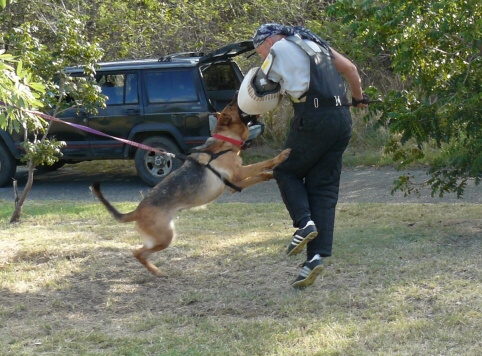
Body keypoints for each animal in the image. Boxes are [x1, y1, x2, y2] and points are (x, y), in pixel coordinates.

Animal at [91, 96, 290, 276]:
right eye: (232, 105)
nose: (235, 96)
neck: (224, 142)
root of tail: (137, 211)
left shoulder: (236, 184)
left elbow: (261, 174)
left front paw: (272, 174)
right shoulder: (240, 173)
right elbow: (263, 163)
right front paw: (281, 156)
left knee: (140, 252)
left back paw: (155, 271)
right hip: (165, 237)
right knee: (137, 252)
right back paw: (157, 272)